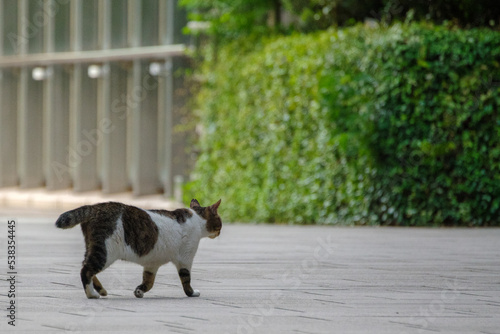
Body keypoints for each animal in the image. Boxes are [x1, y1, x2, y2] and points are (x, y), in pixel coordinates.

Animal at [53, 198, 223, 300]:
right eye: (220, 222)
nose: (220, 232)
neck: (197, 219)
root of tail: (95, 207)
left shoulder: (152, 264)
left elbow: (148, 282)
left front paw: (139, 291)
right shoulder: (185, 259)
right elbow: (186, 279)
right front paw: (191, 293)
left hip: (93, 247)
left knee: (86, 266)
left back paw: (101, 290)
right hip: (105, 252)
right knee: (86, 270)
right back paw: (92, 294)